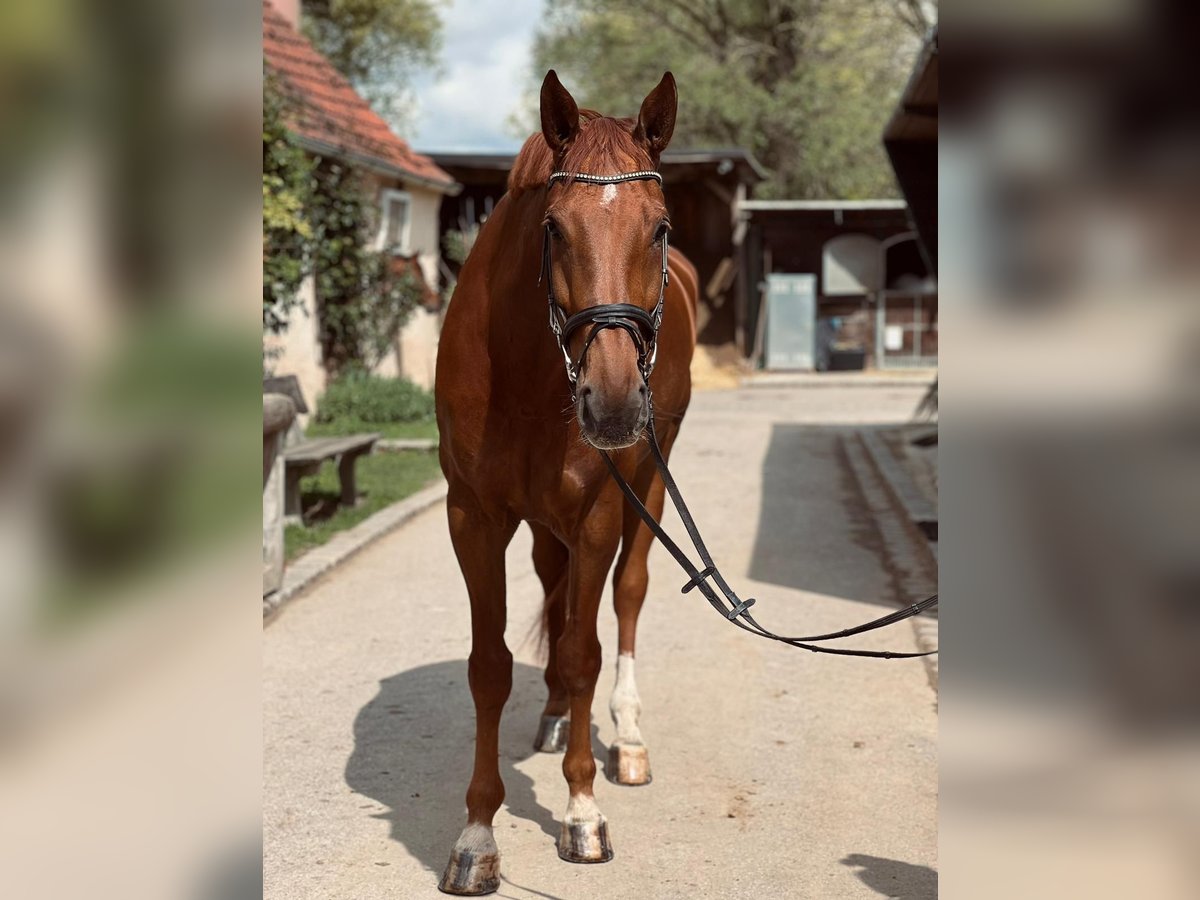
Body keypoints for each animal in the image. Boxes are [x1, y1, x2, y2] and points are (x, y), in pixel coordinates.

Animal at [434, 72, 700, 897]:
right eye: (553, 228)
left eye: (660, 227)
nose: (611, 403)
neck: (526, 369)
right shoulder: (474, 517)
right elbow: (489, 667)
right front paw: (477, 834)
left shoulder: (598, 512)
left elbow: (585, 650)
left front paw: (583, 814)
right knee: (554, 589)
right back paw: (554, 716)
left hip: (649, 484)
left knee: (627, 597)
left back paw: (627, 740)